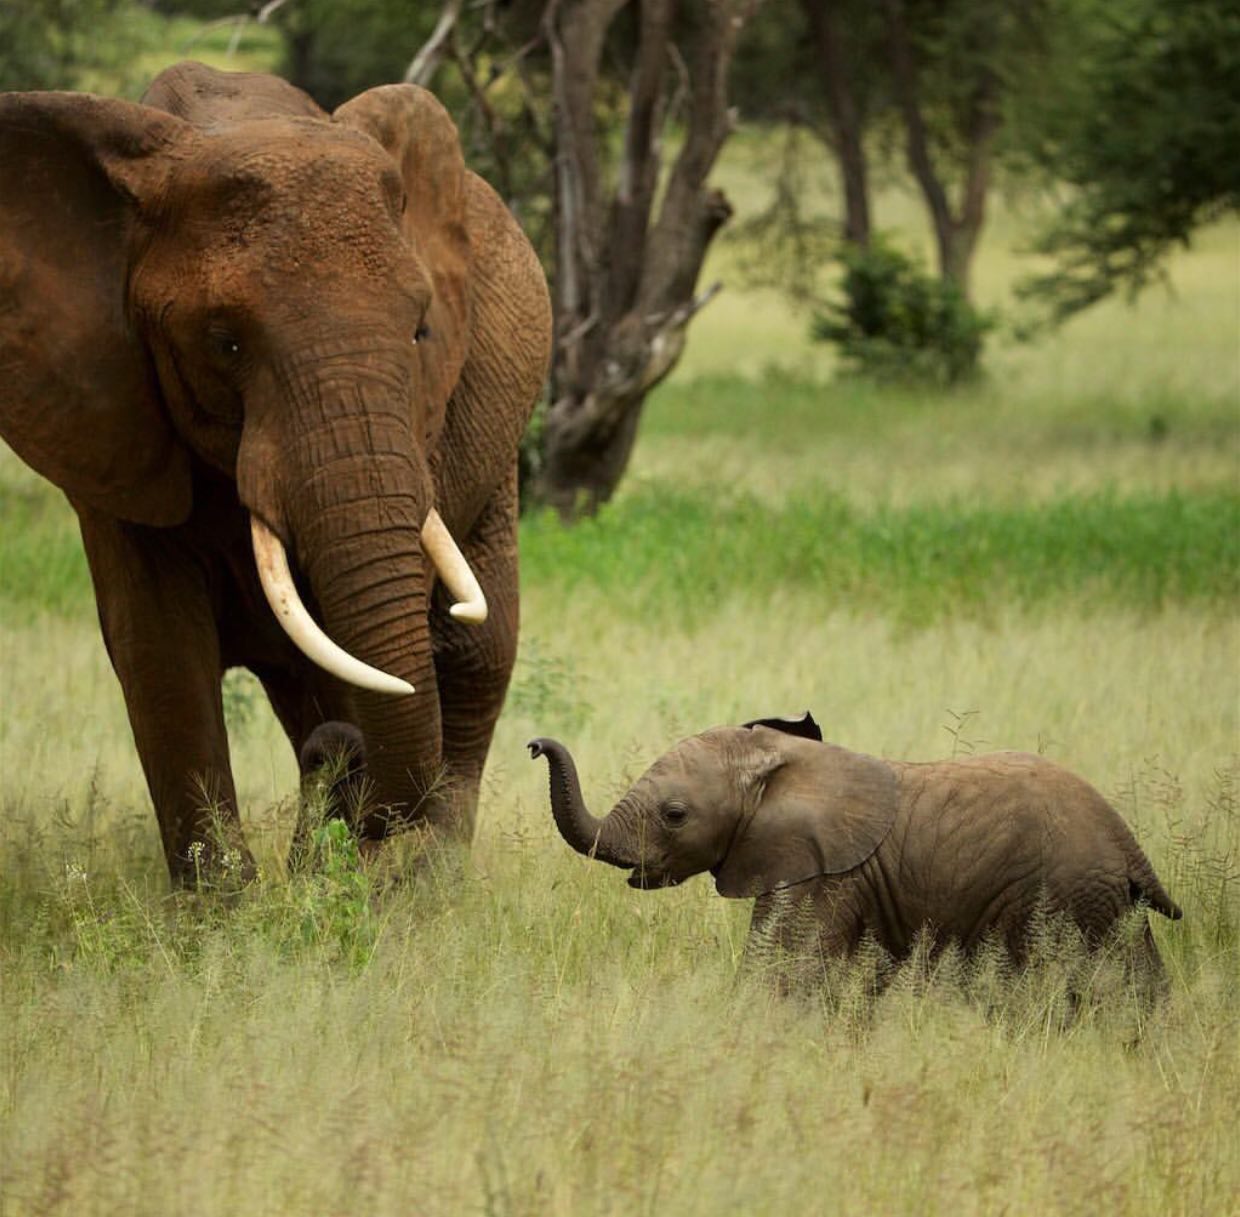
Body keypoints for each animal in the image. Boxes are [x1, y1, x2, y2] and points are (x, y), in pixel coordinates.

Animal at [0, 64, 553, 883]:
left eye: (420, 330)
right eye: (224, 343)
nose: (343, 760)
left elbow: (356, 656)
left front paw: (357, 887)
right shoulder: (108, 421)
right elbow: (158, 649)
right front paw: (222, 906)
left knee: (476, 651)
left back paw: (429, 882)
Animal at [525, 719, 1180, 982]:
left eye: (675, 815)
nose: (533, 745)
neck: (778, 758)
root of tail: (1127, 841)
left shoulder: (825, 873)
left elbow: (781, 967)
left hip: (1065, 899)